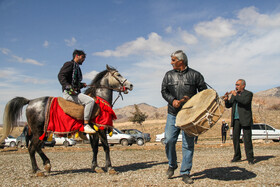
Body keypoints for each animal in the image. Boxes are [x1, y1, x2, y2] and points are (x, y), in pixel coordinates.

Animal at [0, 65, 133, 176]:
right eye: (118, 74)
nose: (131, 85)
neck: (99, 101)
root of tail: (30, 101)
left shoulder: (94, 132)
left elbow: (95, 148)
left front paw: (96, 167)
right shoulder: (101, 128)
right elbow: (106, 147)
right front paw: (110, 168)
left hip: (43, 132)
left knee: (37, 147)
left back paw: (47, 165)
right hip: (38, 132)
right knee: (32, 148)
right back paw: (37, 170)